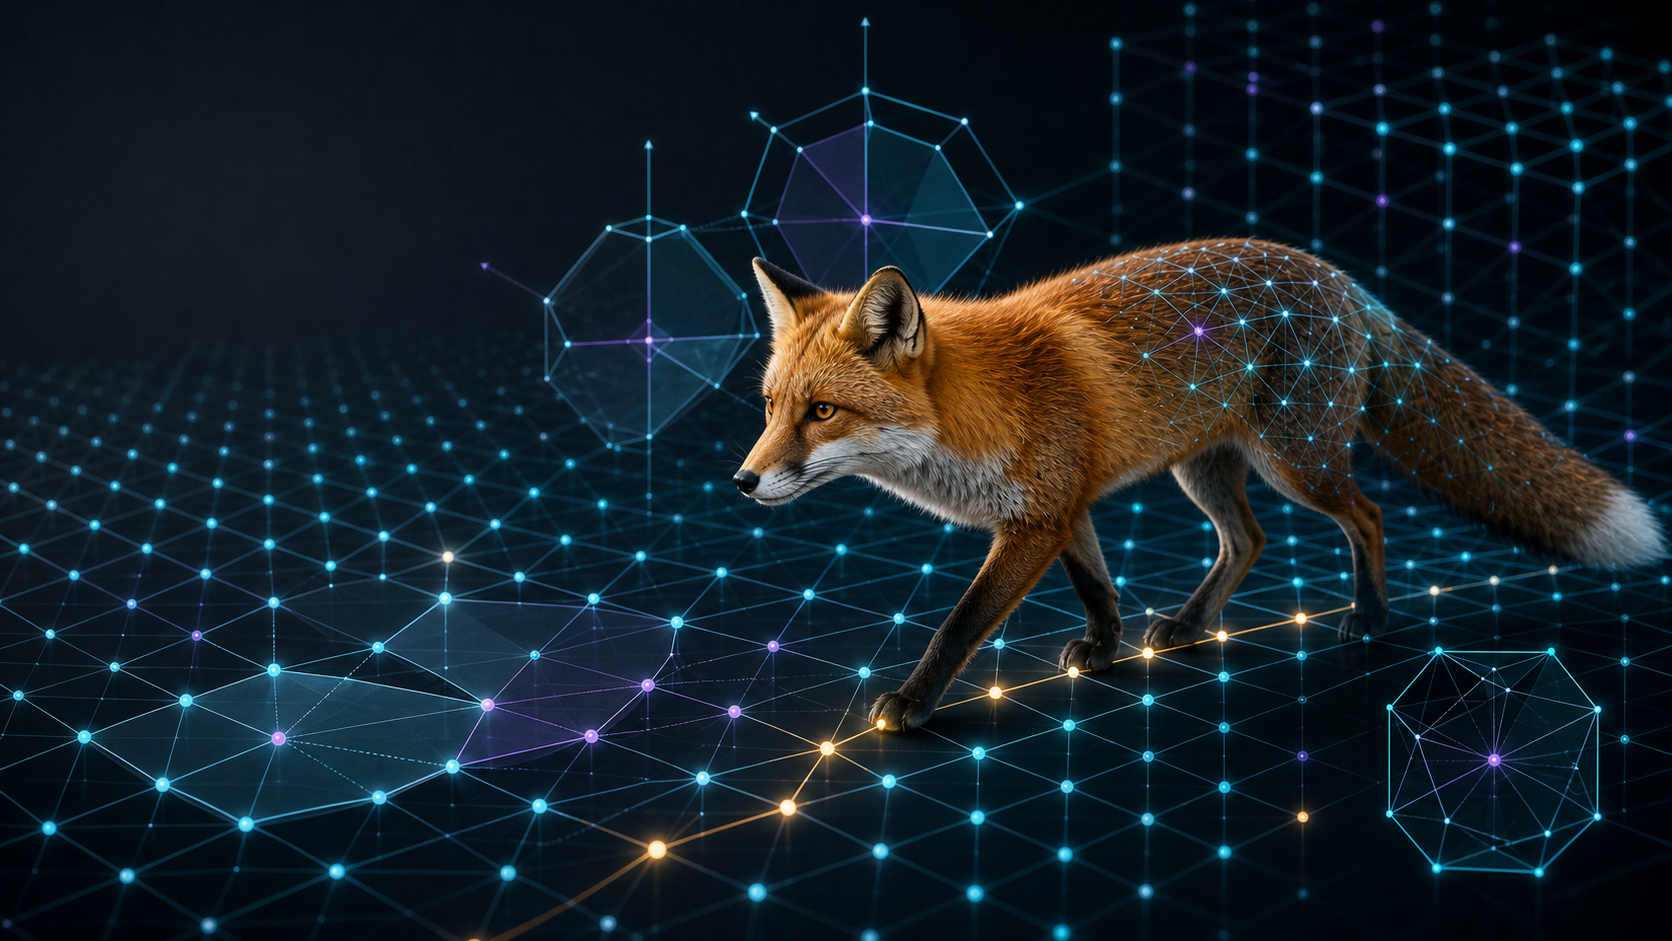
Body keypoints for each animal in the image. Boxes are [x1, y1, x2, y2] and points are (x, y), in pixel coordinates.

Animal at [733, 240, 1667, 732]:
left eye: (823, 411)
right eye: (772, 406)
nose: (742, 481)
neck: (976, 410)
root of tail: (1339, 276)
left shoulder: (1031, 523)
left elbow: (960, 625)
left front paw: (914, 701)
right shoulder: (1064, 508)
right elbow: (1098, 588)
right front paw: (1106, 651)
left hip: (1298, 463)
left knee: (1365, 515)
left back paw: (1369, 615)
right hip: (1205, 468)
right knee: (1248, 540)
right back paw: (1187, 626)